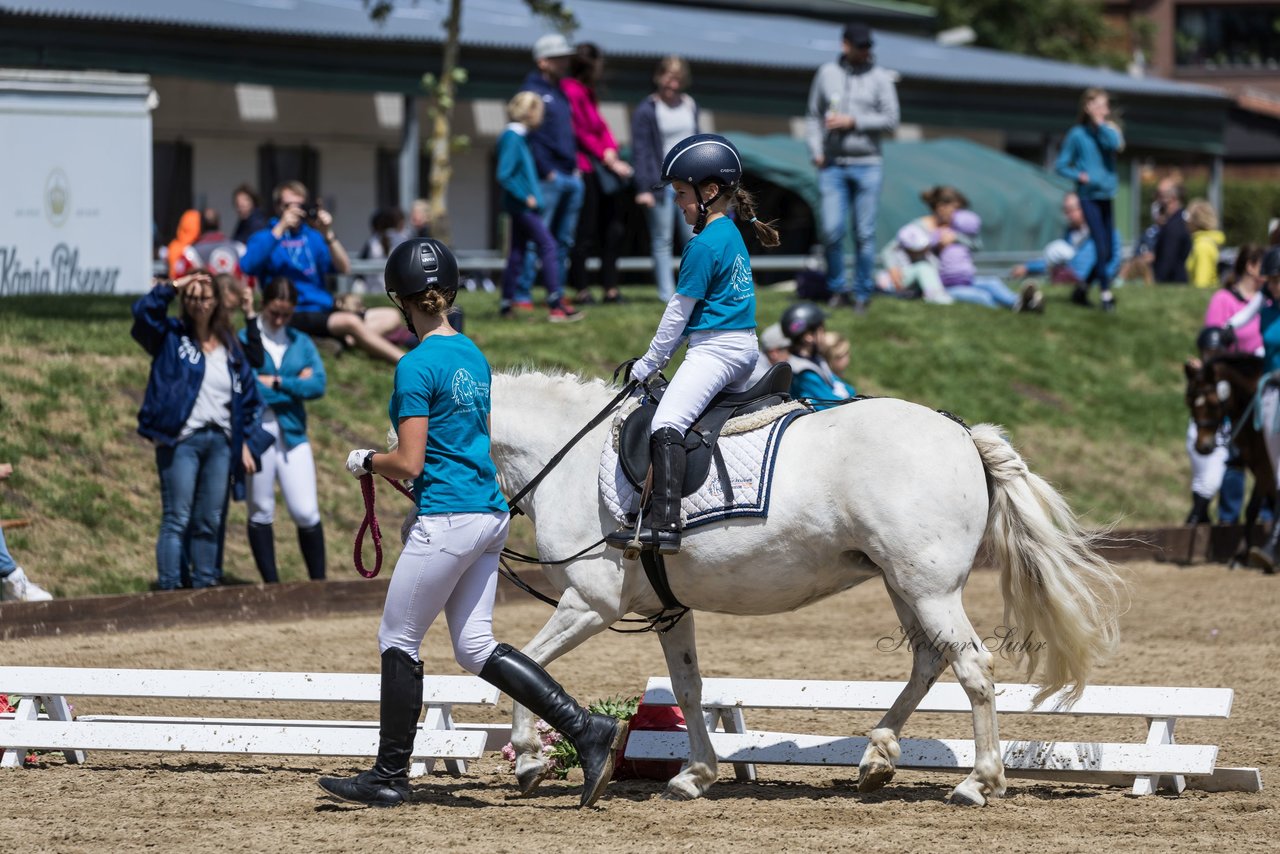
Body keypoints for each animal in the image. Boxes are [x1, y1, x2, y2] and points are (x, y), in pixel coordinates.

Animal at [486, 371, 1121, 804]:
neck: (566, 460)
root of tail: (964, 433)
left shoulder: (590, 604)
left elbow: (523, 665)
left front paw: (529, 763)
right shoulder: (669, 611)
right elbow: (688, 689)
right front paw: (696, 775)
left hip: (929, 588)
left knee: (973, 667)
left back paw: (977, 782)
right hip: (904, 584)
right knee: (928, 660)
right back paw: (877, 757)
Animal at [1182, 350, 1274, 571]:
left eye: (1214, 403)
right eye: (1189, 402)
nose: (1202, 447)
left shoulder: (1267, 464)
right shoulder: (1259, 464)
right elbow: (1252, 510)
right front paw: (1241, 556)